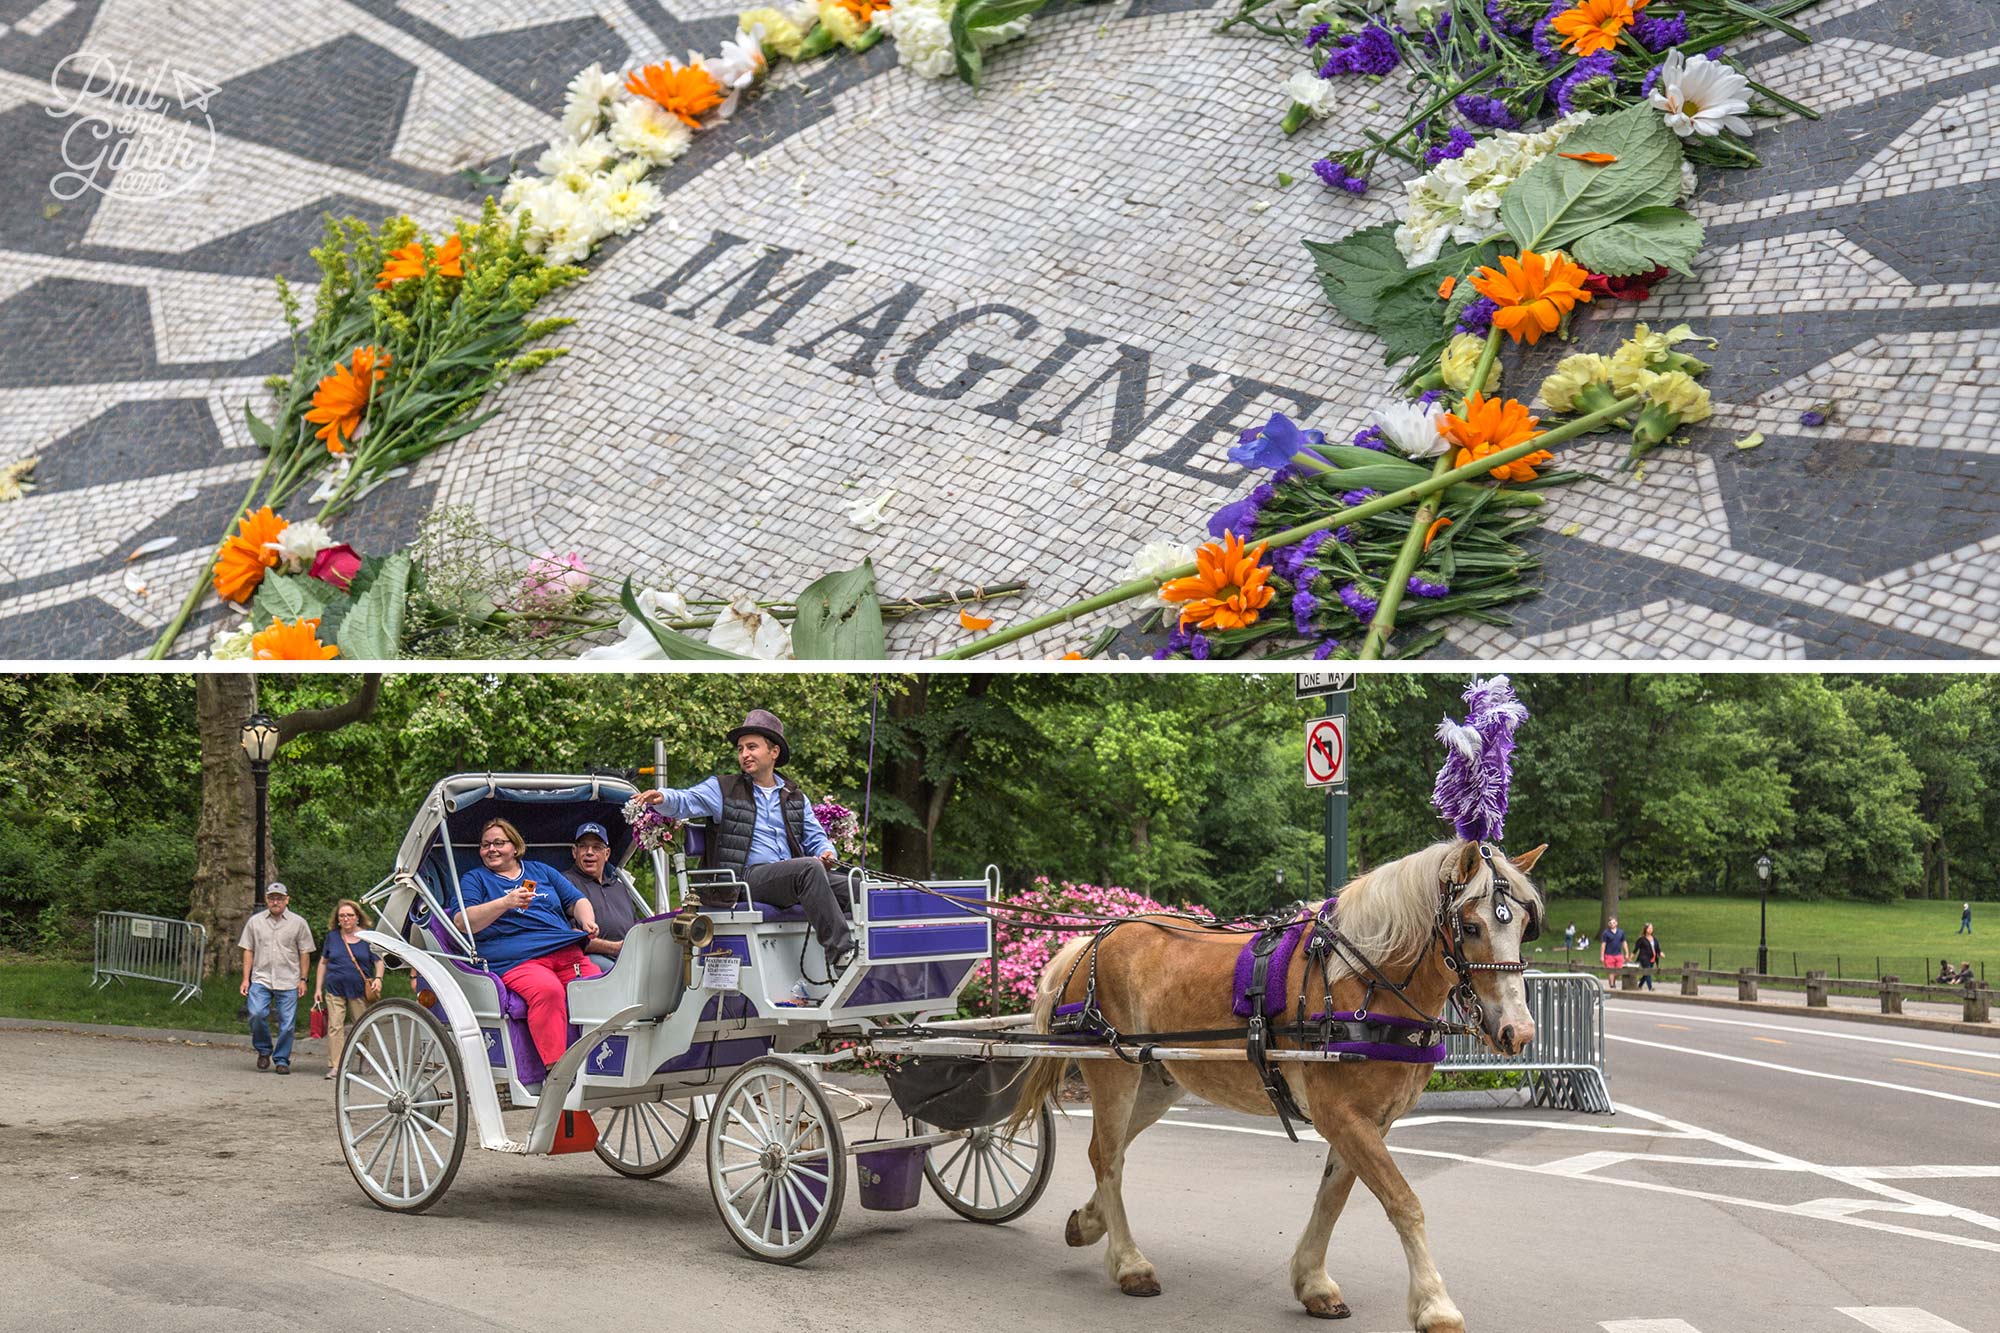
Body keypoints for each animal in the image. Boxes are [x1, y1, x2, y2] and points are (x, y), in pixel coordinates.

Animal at [1016, 836, 1544, 1320]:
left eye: (1522, 928)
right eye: (1471, 927)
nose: (1517, 1031)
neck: (1361, 981)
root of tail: (1093, 939)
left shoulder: (1371, 1121)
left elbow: (1333, 1198)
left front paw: (1313, 1282)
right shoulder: (1342, 1115)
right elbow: (1402, 1201)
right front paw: (1435, 1305)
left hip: (1154, 1080)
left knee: (1112, 1152)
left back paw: (1090, 1223)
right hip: (1114, 1073)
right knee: (1106, 1157)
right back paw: (1130, 1264)